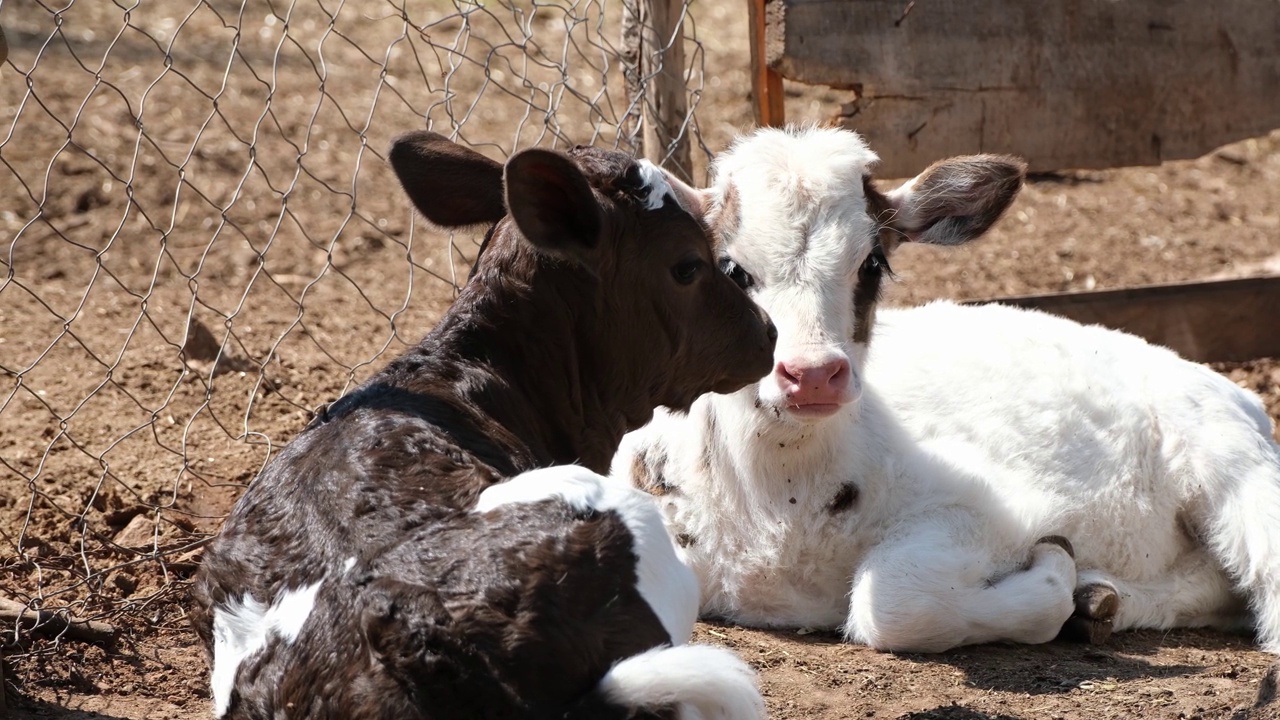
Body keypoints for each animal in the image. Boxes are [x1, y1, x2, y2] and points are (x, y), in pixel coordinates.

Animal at [611, 126, 1280, 653]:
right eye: (731, 268)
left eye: (872, 264)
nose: (813, 374)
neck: (781, 506)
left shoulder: (993, 510)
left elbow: (893, 603)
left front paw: (1054, 579)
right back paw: (1103, 603)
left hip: (1234, 466)